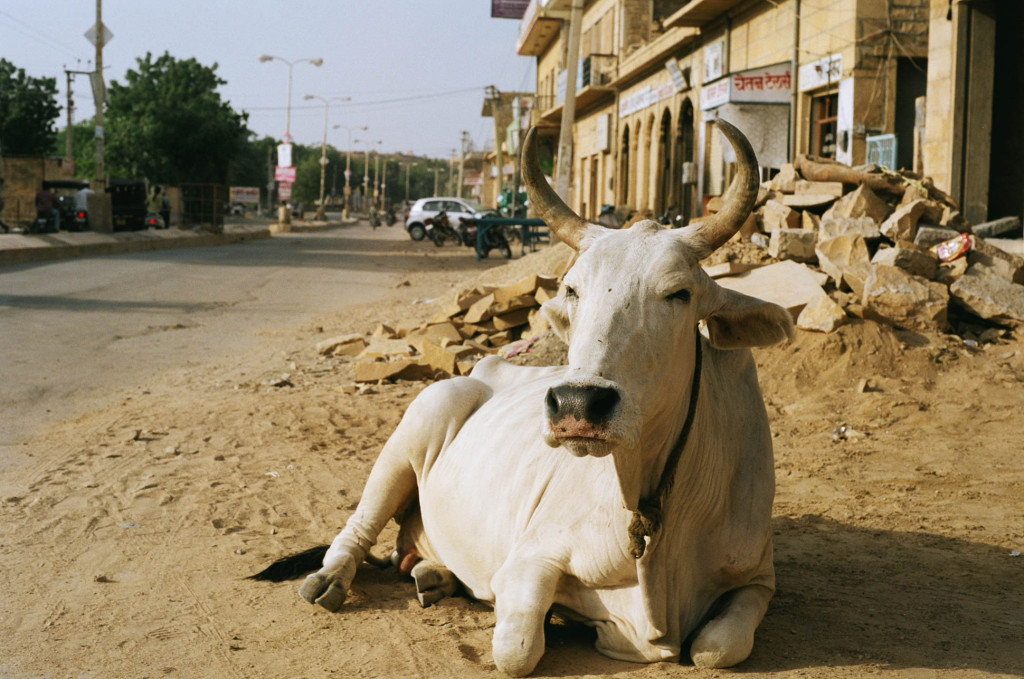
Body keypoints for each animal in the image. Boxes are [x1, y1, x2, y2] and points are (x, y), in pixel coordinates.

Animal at [288, 120, 790, 675]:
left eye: (679, 293)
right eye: (572, 289)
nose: (577, 406)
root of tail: (485, 368)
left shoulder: (758, 578)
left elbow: (716, 647)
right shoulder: (530, 559)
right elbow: (517, 650)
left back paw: (433, 575)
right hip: (415, 428)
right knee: (358, 526)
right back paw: (332, 580)